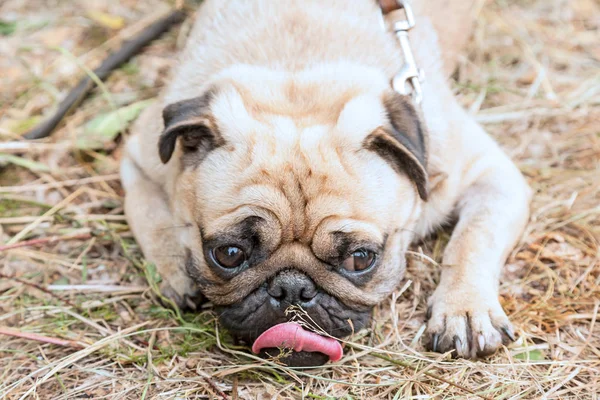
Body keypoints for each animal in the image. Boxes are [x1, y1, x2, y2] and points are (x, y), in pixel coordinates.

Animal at [120, 0, 528, 366]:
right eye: (229, 254)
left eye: (360, 258)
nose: (292, 288)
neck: (297, 70)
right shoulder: (139, 155)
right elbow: (150, 215)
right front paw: (175, 268)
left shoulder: (491, 176)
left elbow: (473, 240)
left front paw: (466, 309)